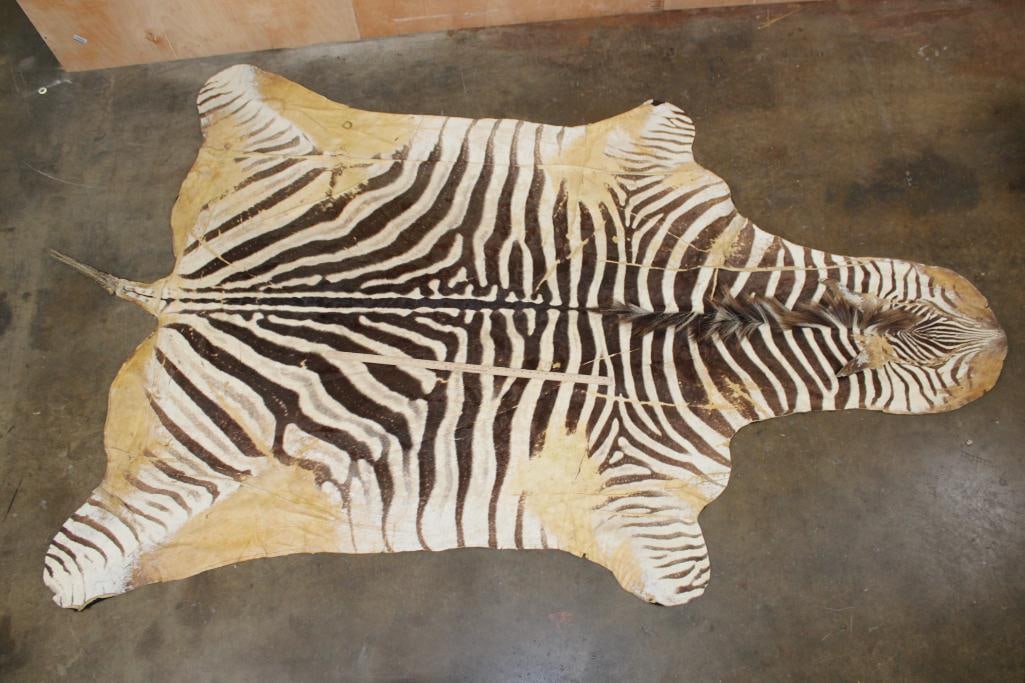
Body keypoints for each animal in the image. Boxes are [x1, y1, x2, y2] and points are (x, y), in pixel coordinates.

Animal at [43, 65, 1006, 609]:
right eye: (955, 371)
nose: (1000, 333)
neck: (725, 316)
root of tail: (184, 287)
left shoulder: (649, 154)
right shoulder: (640, 493)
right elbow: (676, 580)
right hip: (198, 470)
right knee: (76, 562)